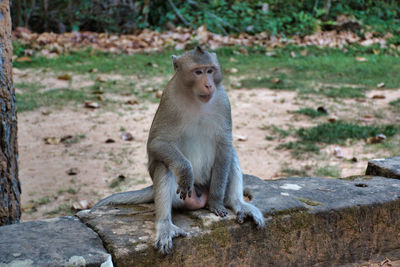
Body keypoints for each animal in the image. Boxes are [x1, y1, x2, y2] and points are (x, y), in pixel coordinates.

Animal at [94, 46, 266, 255]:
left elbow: (225, 145)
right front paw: (185, 172)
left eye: (210, 70)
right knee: (164, 165)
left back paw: (237, 204)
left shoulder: (223, 101)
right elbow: (156, 143)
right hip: (179, 197)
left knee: (230, 155)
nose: (209, 84)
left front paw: (216, 203)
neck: (195, 99)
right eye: (198, 72)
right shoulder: (169, 99)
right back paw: (165, 225)